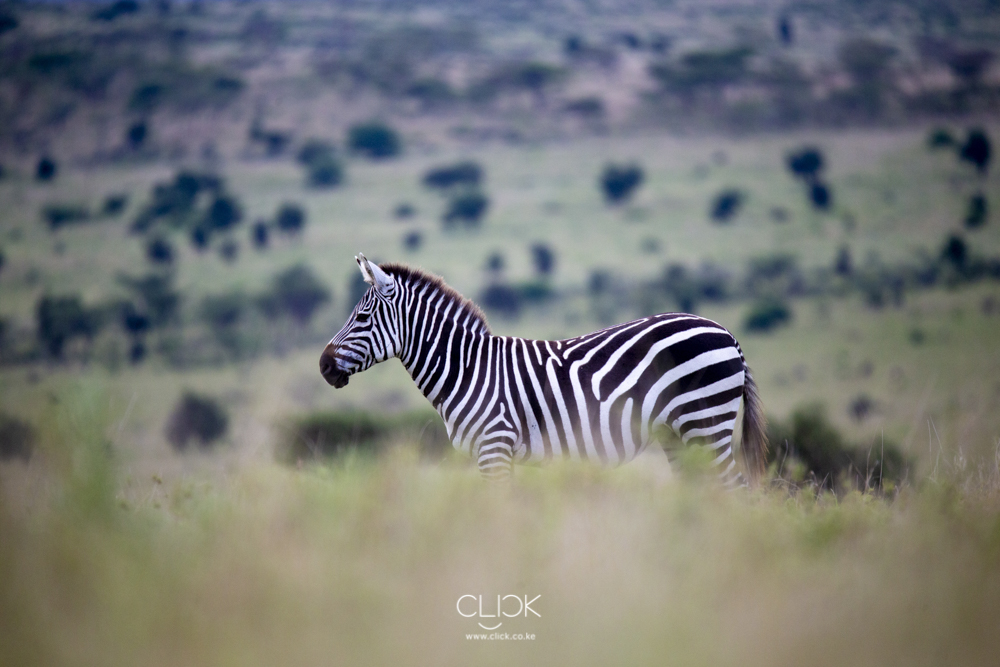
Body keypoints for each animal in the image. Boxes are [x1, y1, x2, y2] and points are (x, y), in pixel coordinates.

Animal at [320, 256, 764, 486]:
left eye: (362, 318)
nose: (323, 366)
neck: (467, 369)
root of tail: (726, 333)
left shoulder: (494, 448)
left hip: (705, 423)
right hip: (678, 434)